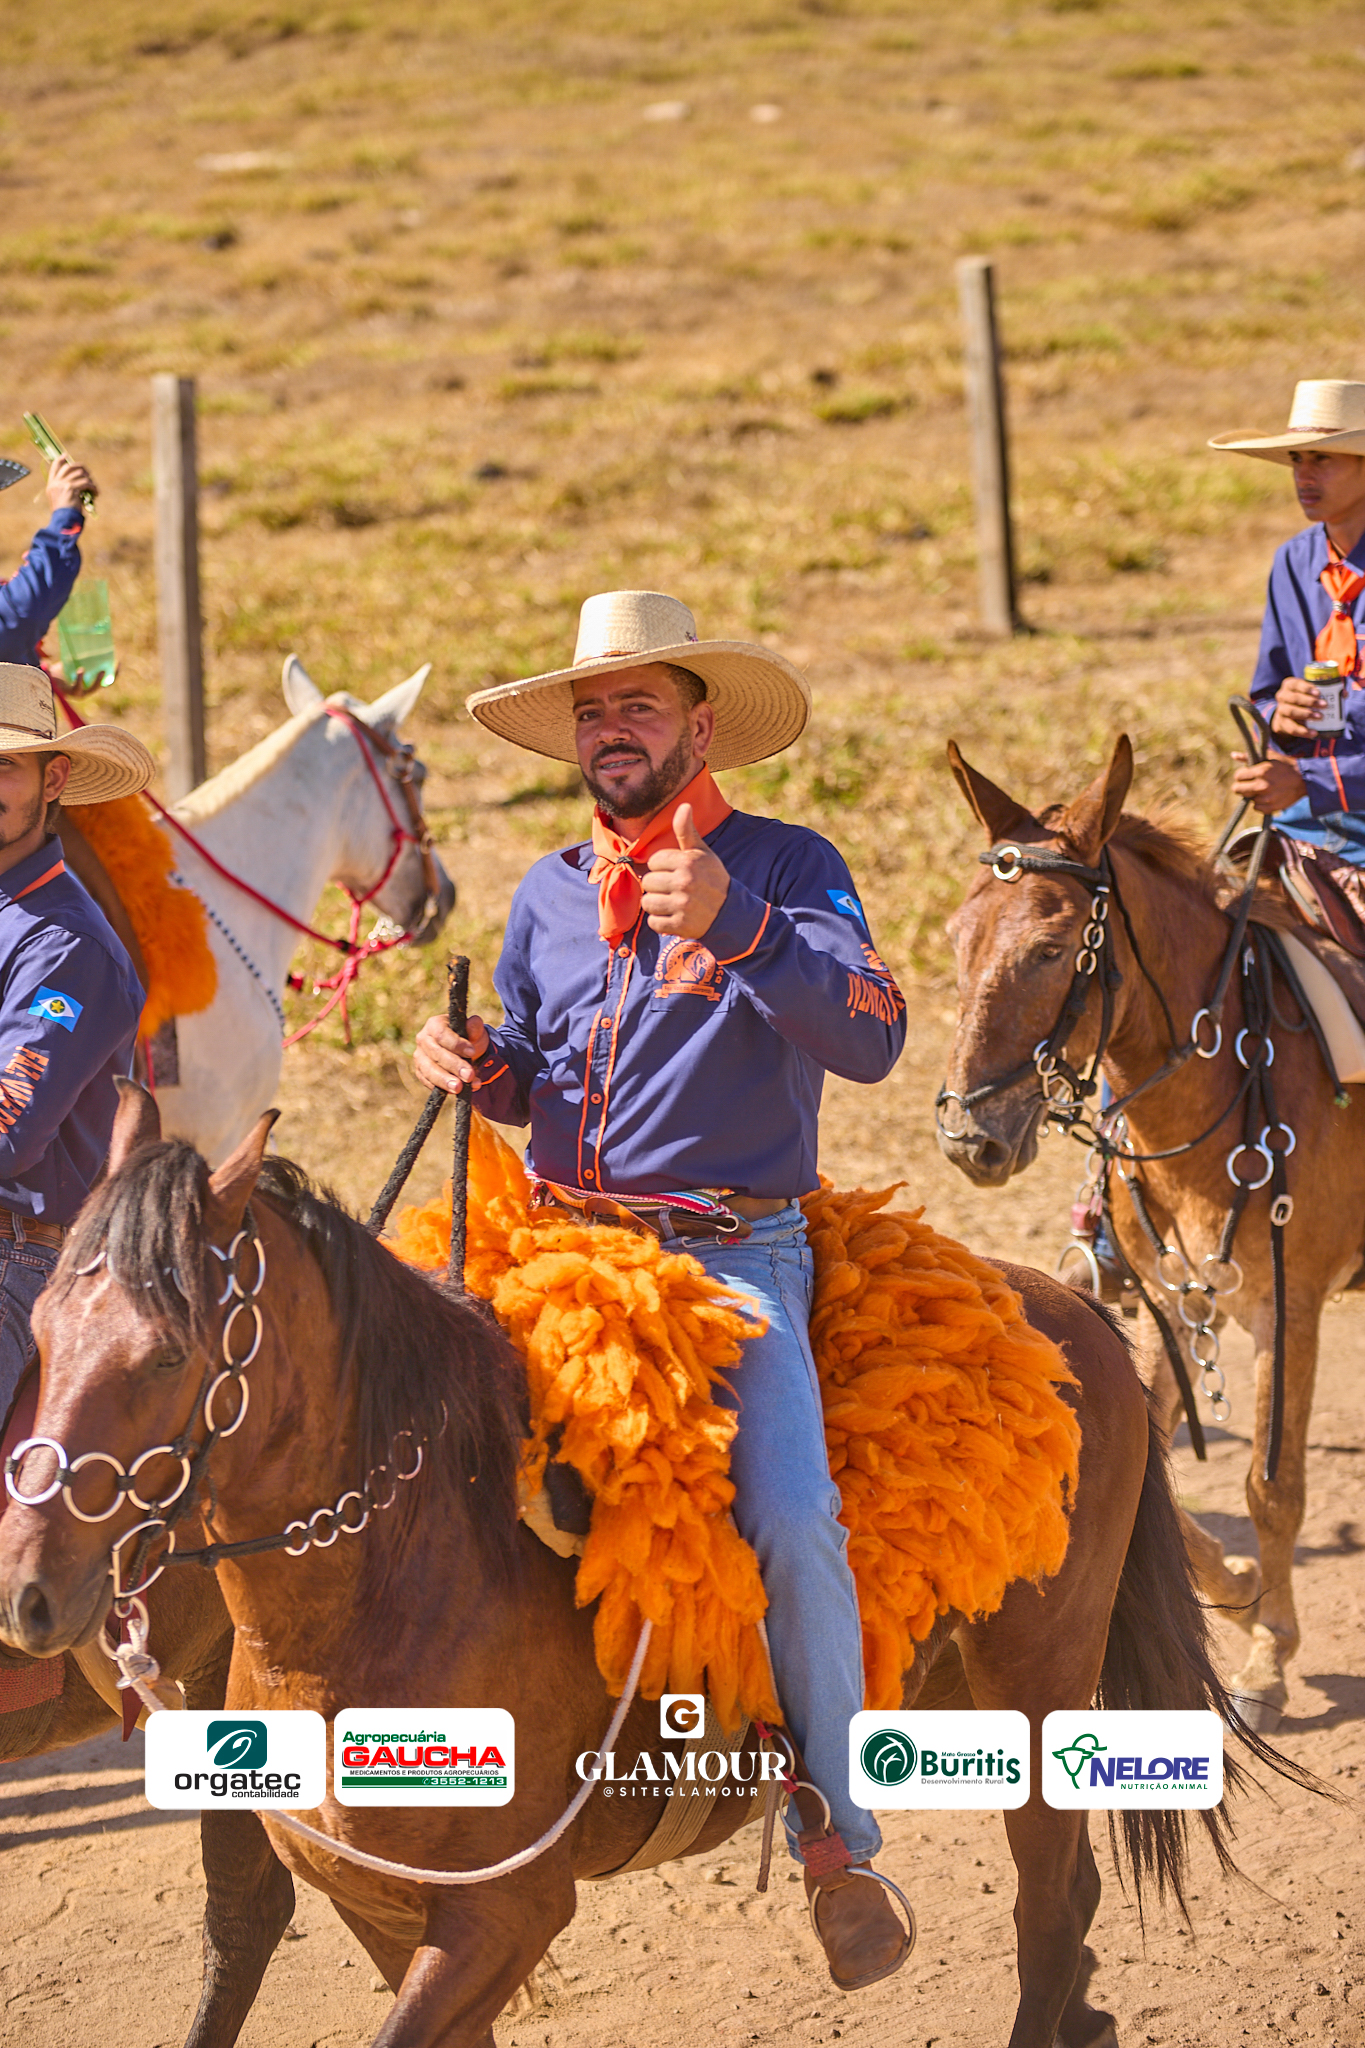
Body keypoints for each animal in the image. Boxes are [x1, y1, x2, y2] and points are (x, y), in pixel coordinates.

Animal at [0, 1083, 1285, 2048]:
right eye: (44, 1336)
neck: (399, 1575)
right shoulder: (385, 1911)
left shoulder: (506, 1912)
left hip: (1038, 1683)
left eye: (166, 1355)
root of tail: (1067, 1303)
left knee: (1051, 1905)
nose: (28, 1587)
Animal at [935, 733, 1365, 1730]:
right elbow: (1164, 1479)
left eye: (1051, 948)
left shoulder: (1288, 1310)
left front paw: (1266, 1660)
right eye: (958, 940)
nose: (968, 1136)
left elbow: (1271, 1487)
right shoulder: (1175, 1302)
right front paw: (1238, 1589)